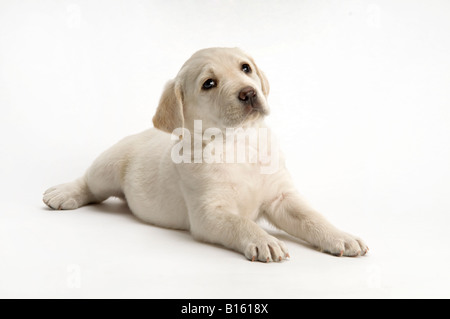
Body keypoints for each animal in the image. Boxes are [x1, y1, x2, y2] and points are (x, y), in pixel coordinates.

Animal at [42, 47, 368, 262]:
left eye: (245, 68)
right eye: (209, 83)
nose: (249, 93)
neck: (237, 143)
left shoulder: (281, 197)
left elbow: (313, 217)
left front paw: (340, 236)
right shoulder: (210, 212)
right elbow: (242, 223)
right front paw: (264, 240)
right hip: (107, 167)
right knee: (88, 183)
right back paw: (63, 193)